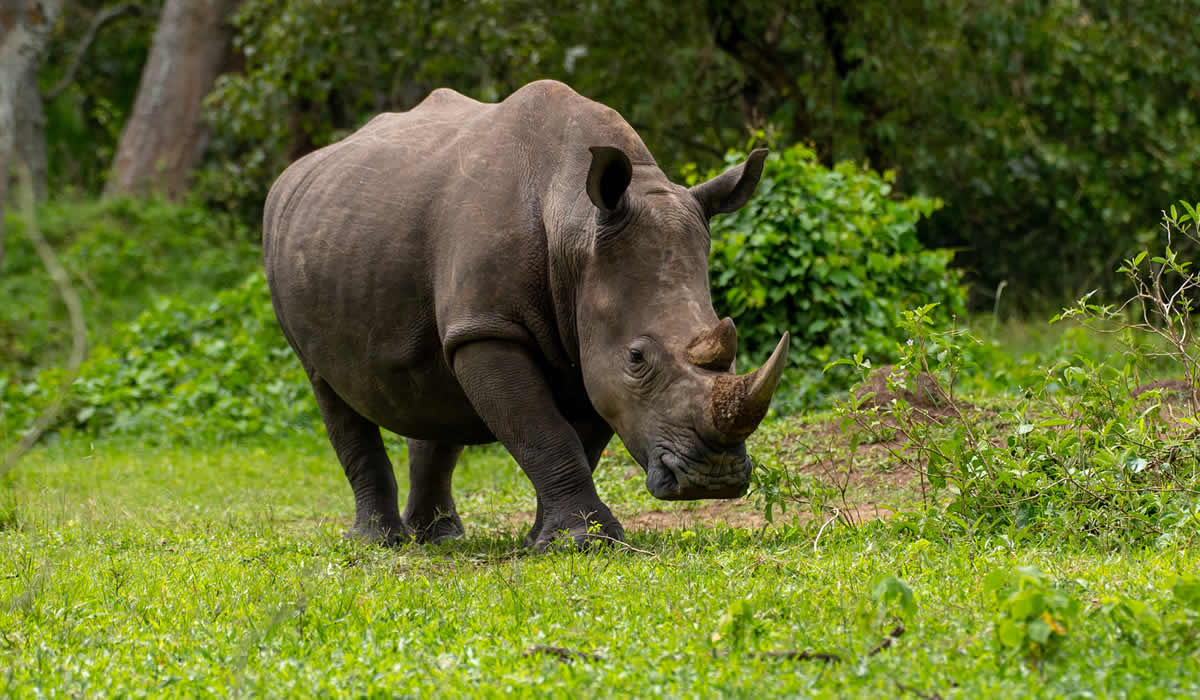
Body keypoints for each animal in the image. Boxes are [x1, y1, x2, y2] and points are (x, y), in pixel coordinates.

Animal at [263, 80, 789, 548]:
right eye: (637, 358)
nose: (713, 480)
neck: (575, 221)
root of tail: (291, 176)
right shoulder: (490, 328)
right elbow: (544, 432)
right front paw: (584, 543)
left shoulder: (582, 336)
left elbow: (580, 437)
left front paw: (549, 540)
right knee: (327, 385)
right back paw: (380, 542)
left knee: (432, 382)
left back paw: (439, 539)